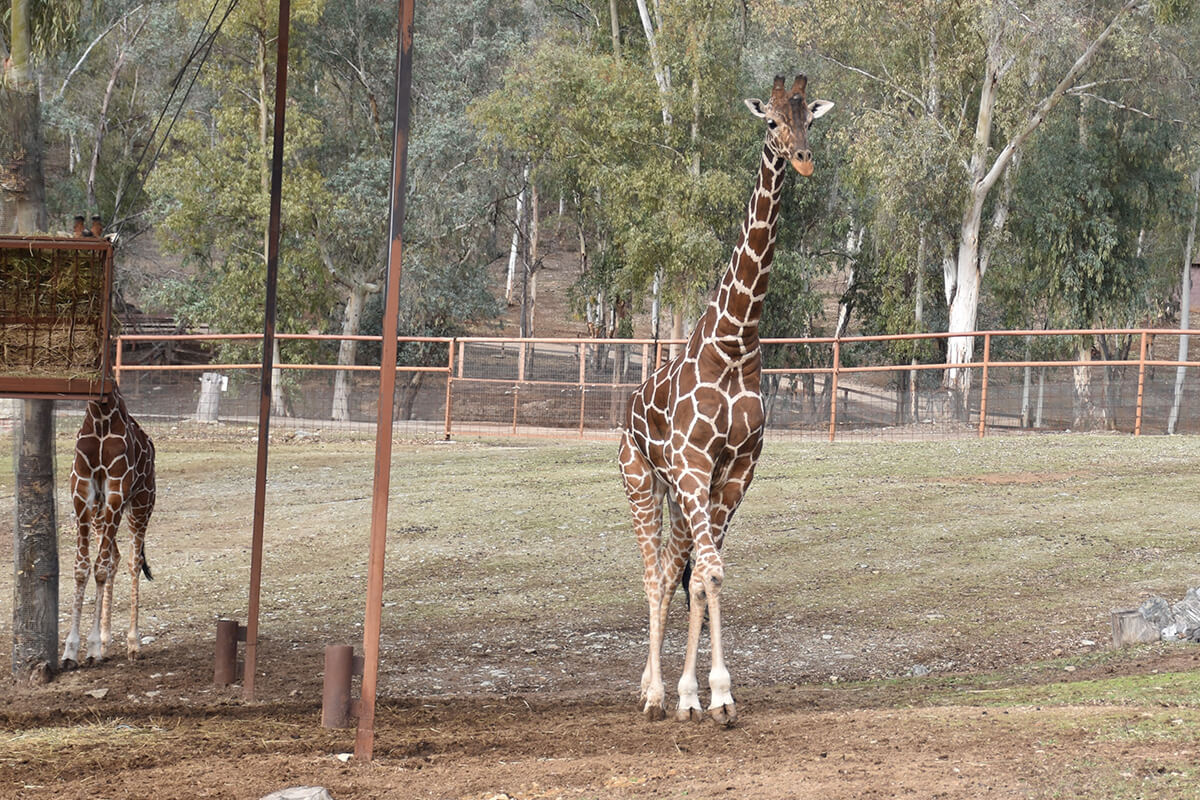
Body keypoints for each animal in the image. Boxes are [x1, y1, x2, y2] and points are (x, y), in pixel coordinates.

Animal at [62, 383, 157, 666]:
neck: (100, 416)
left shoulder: (117, 490)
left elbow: (100, 568)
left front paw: (90, 647)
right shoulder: (82, 492)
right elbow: (82, 567)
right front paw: (71, 650)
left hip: (141, 504)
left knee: (133, 561)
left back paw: (133, 644)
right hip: (99, 513)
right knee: (115, 557)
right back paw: (105, 640)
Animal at [619, 76, 835, 724]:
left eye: (809, 119)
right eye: (771, 121)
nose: (802, 158)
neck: (735, 341)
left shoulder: (734, 472)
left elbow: (703, 577)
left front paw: (705, 695)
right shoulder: (693, 466)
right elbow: (708, 574)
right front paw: (706, 692)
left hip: (680, 493)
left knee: (672, 571)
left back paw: (657, 688)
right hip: (641, 480)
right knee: (651, 574)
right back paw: (652, 695)